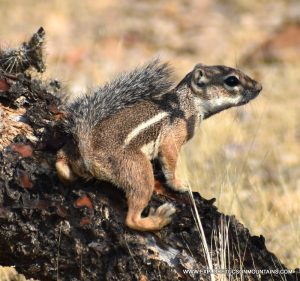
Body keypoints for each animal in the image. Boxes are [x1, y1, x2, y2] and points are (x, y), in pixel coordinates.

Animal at [55, 58, 262, 230]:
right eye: (232, 80)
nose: (259, 87)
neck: (186, 103)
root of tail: (88, 151)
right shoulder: (174, 135)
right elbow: (170, 157)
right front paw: (179, 184)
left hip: (72, 151)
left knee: (60, 161)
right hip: (138, 170)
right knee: (132, 218)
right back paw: (159, 218)